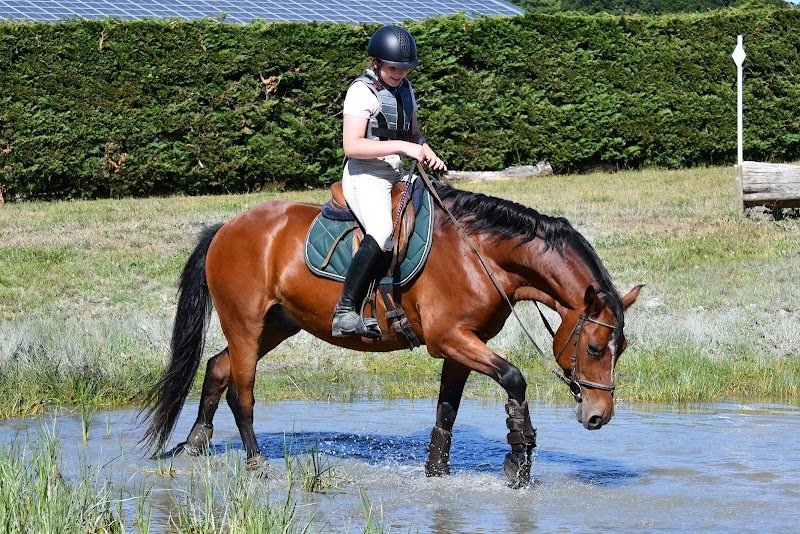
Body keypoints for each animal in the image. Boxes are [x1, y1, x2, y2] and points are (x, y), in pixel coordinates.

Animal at [141, 178, 641, 488]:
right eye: (595, 346)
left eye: (622, 348)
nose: (599, 416)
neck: (479, 252)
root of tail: (226, 227)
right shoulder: (449, 338)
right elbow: (514, 378)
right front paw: (519, 459)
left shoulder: (462, 345)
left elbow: (447, 411)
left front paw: (436, 473)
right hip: (246, 323)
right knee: (241, 391)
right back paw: (255, 461)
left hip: (277, 324)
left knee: (217, 367)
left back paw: (194, 445)